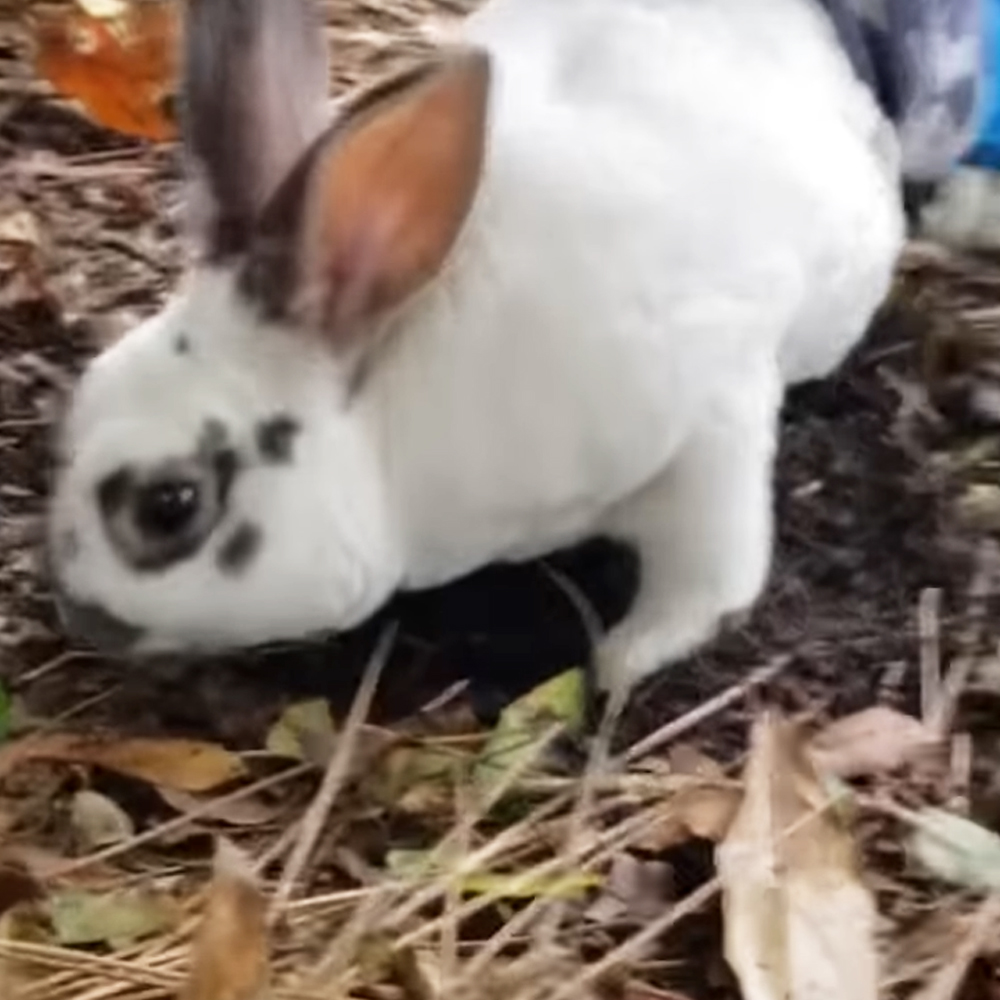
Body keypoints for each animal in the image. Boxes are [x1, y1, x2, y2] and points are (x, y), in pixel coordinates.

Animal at [47, 0, 906, 701]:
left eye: (169, 505)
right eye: (84, 390)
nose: (73, 610)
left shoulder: (711, 426)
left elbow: (710, 575)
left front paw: (623, 662)